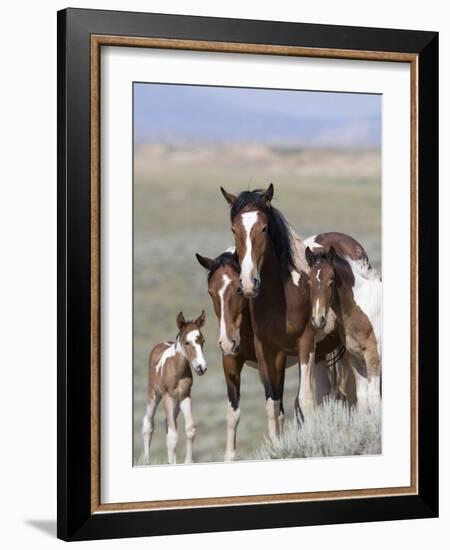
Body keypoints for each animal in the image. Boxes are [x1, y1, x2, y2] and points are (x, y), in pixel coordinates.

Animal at [142, 310, 207, 466]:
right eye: (187, 342)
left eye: (202, 341)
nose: (201, 367)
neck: (178, 371)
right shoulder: (168, 397)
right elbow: (172, 436)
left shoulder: (185, 396)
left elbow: (189, 428)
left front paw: (187, 462)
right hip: (154, 394)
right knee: (148, 423)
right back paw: (147, 462)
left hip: (176, 402)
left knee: (169, 423)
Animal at [304, 247, 382, 414]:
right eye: (309, 282)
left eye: (331, 282)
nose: (318, 319)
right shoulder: (356, 358)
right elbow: (362, 398)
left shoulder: (373, 357)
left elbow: (373, 398)